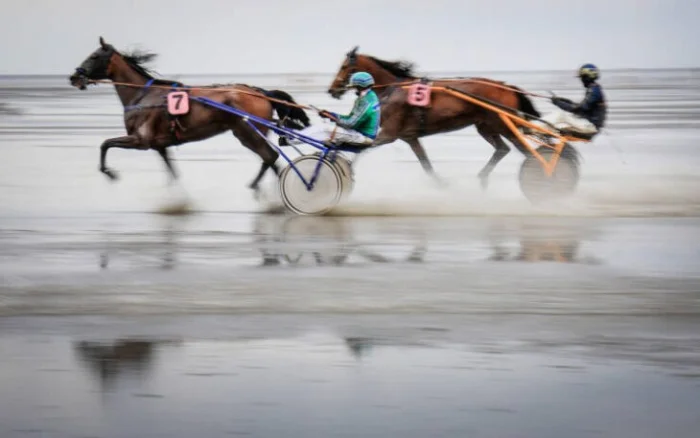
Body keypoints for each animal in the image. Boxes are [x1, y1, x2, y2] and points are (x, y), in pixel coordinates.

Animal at [69, 37, 310, 194]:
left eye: (94, 56)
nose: (74, 78)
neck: (143, 95)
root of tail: (260, 92)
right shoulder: (159, 145)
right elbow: (172, 172)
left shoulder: (141, 140)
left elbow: (105, 144)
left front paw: (110, 173)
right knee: (270, 158)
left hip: (247, 132)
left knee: (270, 156)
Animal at [328, 46, 542, 189]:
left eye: (344, 66)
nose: (332, 90)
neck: (393, 88)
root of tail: (506, 86)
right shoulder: (410, 137)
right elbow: (426, 165)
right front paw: (442, 184)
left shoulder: (389, 134)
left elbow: (361, 151)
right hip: (485, 126)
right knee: (502, 149)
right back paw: (482, 179)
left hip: (503, 125)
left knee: (527, 153)